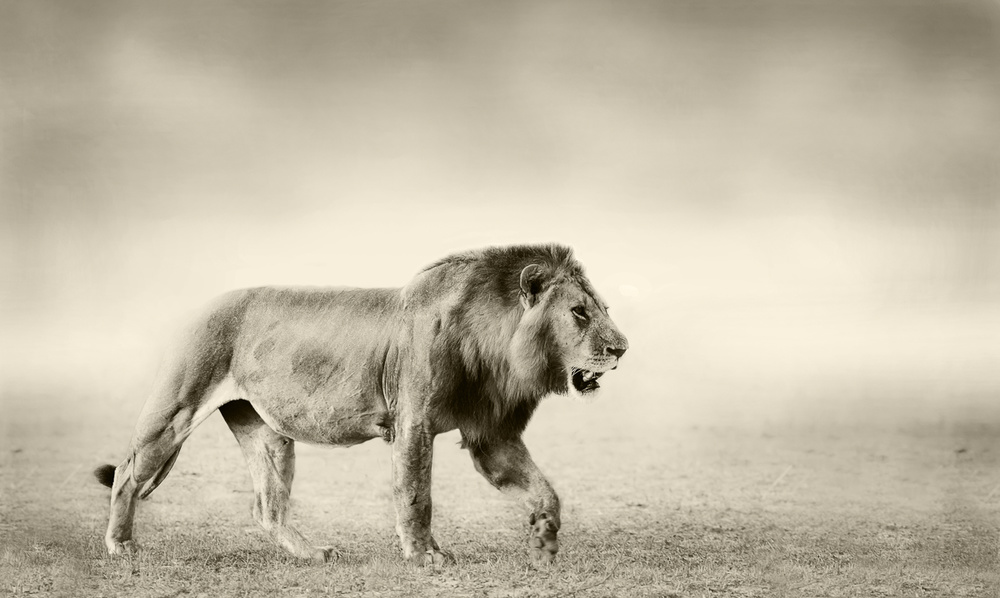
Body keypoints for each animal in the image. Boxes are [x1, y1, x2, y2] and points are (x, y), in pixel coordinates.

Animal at [94, 244, 624, 568]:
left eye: (604, 310)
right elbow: (416, 496)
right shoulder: (413, 422)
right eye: (579, 312)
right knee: (127, 475)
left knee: (266, 507)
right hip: (174, 410)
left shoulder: (490, 434)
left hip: (267, 434)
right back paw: (121, 545)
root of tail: (198, 307)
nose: (621, 348)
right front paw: (423, 557)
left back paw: (311, 554)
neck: (497, 346)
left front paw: (544, 539)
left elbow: (545, 491)